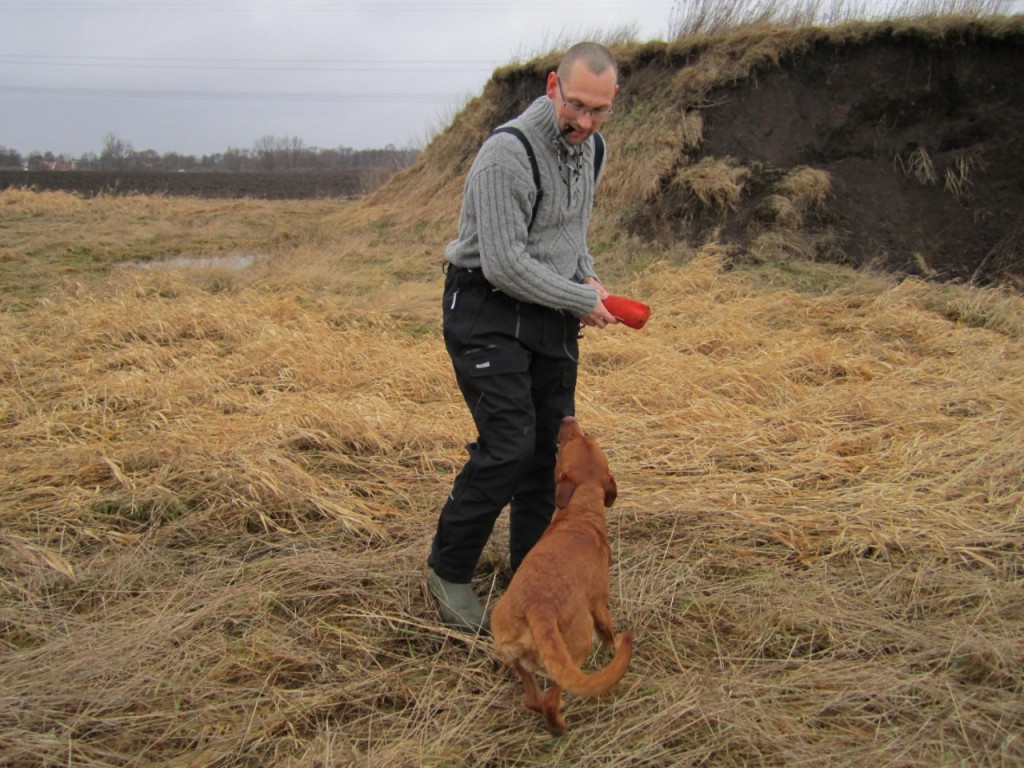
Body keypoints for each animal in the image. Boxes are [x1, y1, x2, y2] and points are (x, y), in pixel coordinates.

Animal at [489, 417, 630, 737]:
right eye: (571, 441)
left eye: (582, 437)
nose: (568, 418)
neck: (580, 513)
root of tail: (537, 609)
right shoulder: (599, 605)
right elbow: (608, 633)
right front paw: (615, 645)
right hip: (575, 649)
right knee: (551, 701)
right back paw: (560, 727)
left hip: (515, 654)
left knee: (533, 700)